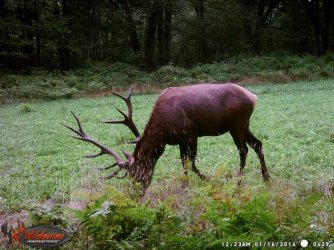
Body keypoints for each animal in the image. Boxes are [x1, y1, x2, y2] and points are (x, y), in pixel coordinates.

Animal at [65, 83, 268, 191]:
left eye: (135, 173)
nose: (137, 193)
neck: (162, 132)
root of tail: (252, 97)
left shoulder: (190, 133)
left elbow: (191, 163)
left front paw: (208, 179)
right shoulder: (180, 140)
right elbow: (184, 163)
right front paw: (185, 185)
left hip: (236, 123)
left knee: (243, 149)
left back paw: (239, 182)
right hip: (244, 124)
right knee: (257, 144)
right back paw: (266, 177)